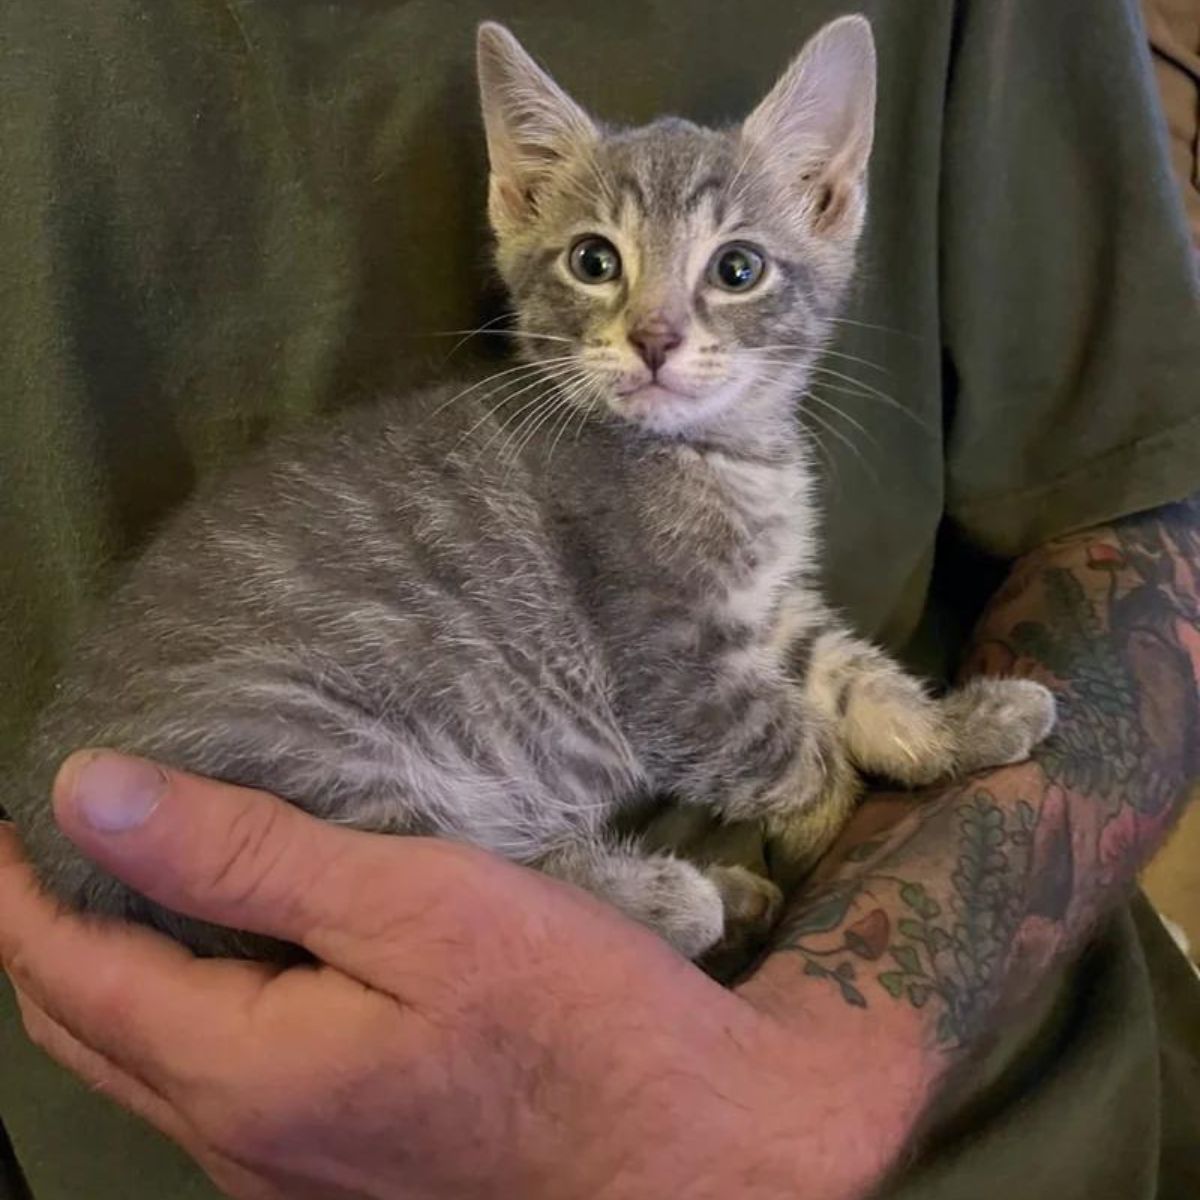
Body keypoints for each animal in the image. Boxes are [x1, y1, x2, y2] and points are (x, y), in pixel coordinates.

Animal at [14, 14, 1056, 960]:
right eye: (595, 260)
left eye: (739, 268)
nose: (655, 337)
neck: (720, 457)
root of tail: (46, 834)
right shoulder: (671, 663)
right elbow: (792, 746)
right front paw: (818, 831)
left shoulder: (769, 611)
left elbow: (848, 675)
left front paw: (951, 727)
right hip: (320, 744)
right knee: (468, 865)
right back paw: (685, 900)